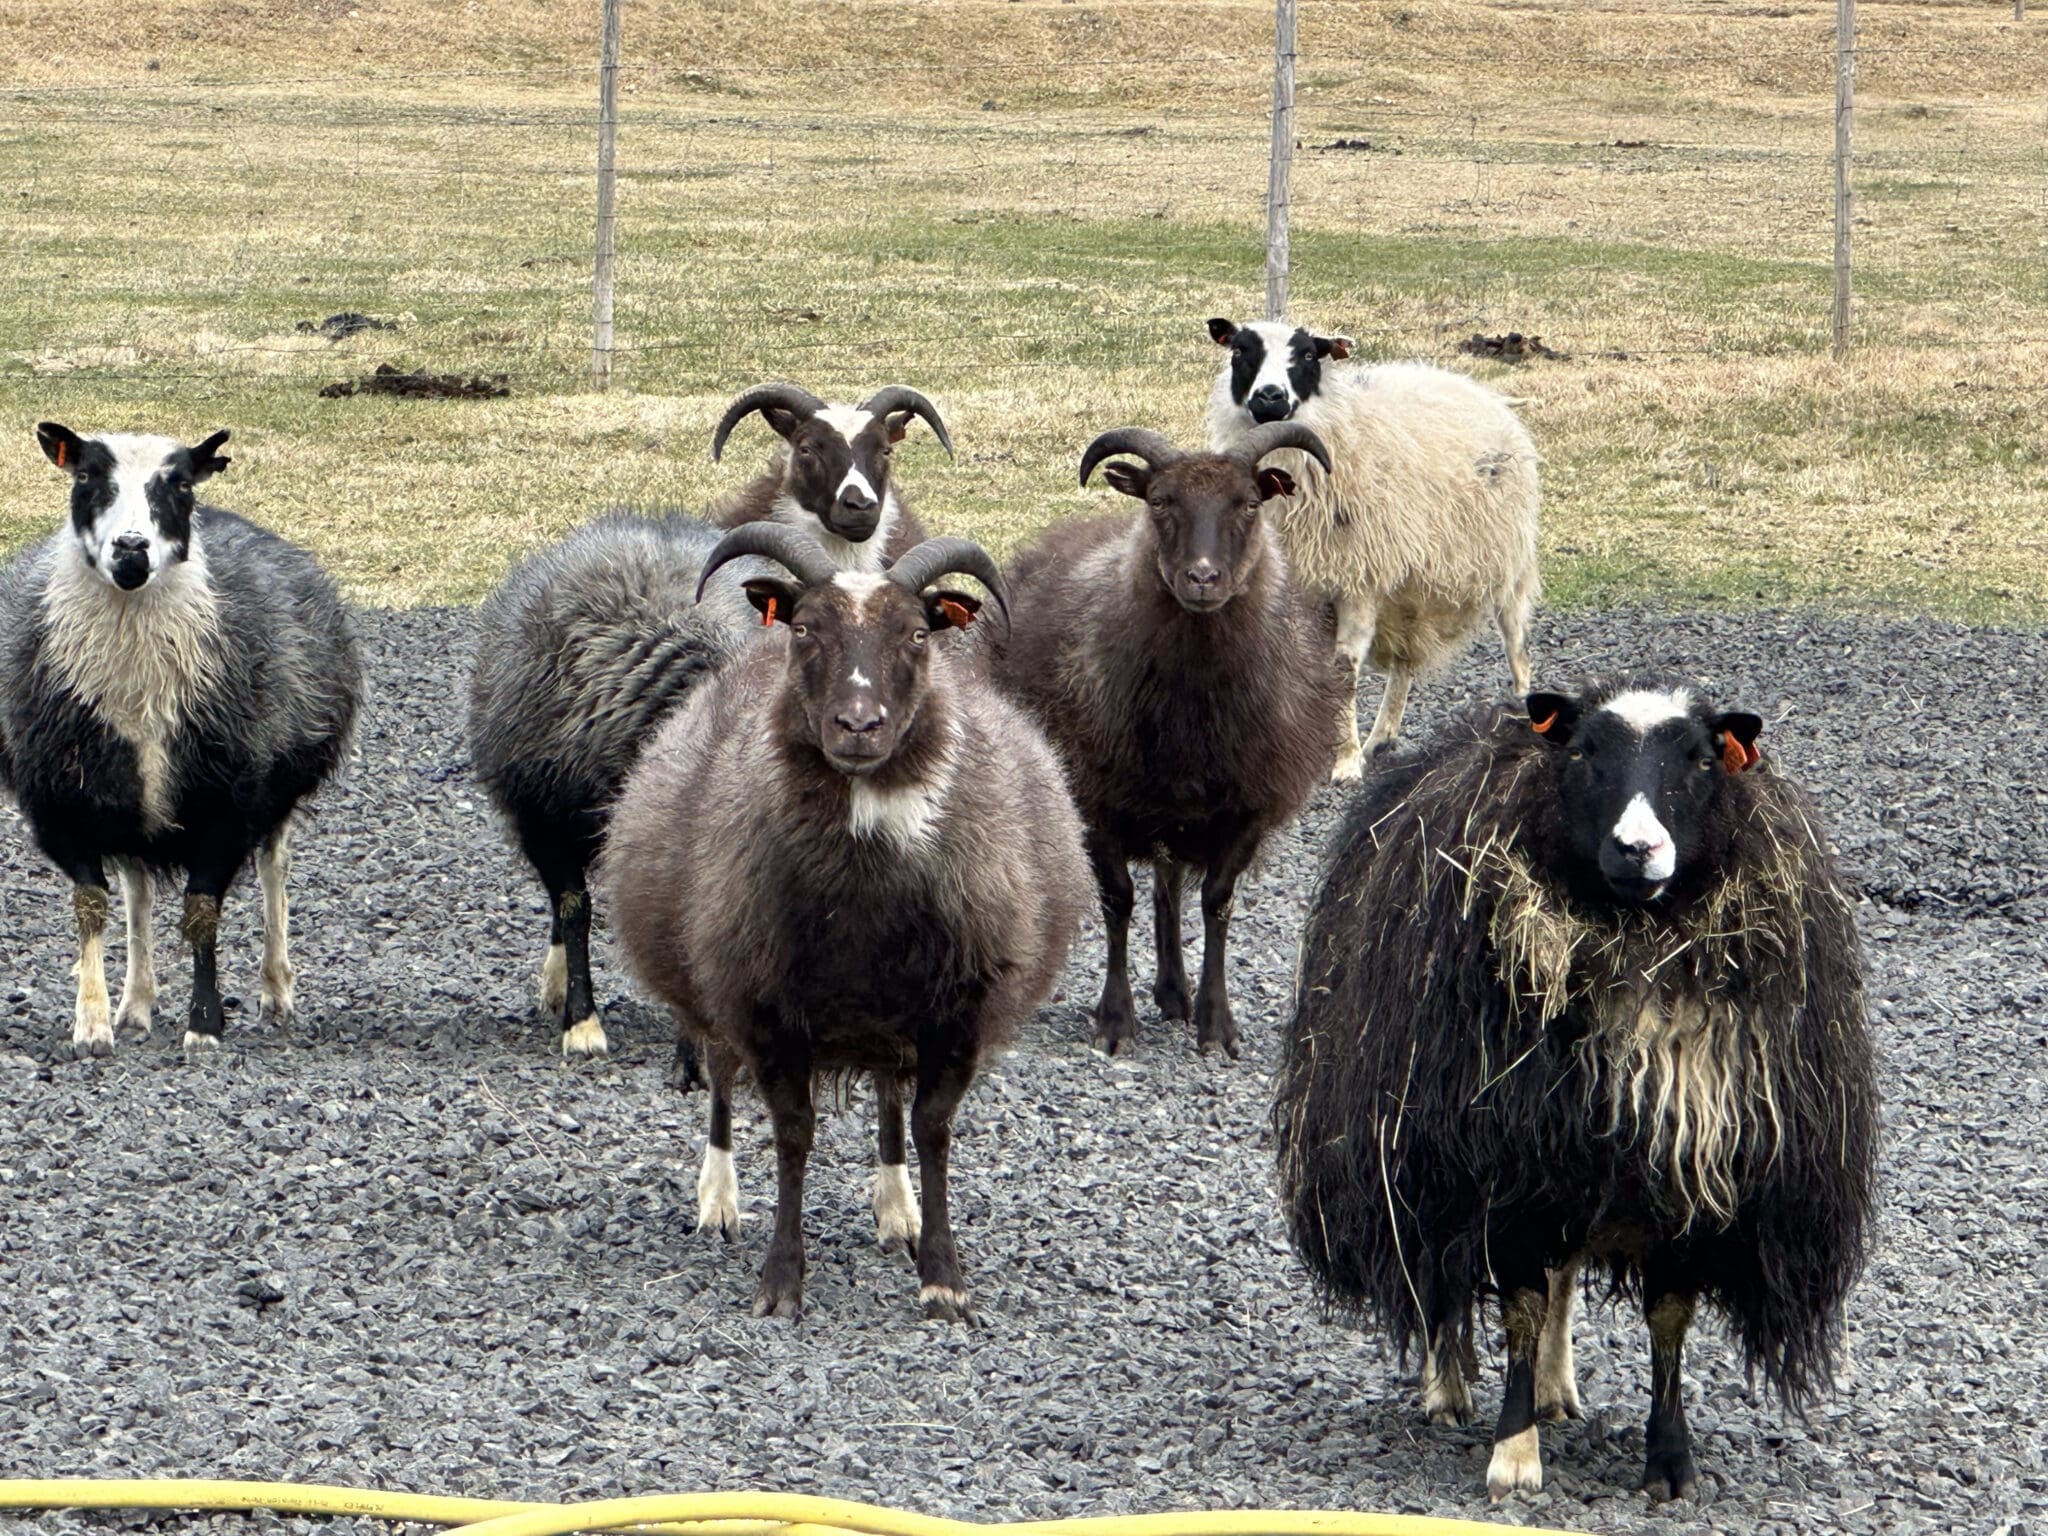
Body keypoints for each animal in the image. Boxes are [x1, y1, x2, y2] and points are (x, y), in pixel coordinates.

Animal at [1, 424, 361, 1057]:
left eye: (181, 485)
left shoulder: (228, 805)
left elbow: (201, 914)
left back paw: (276, 992)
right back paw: (136, 1004)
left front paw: (205, 1026)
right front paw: (92, 1024)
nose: (131, 548)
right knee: (138, 894)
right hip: (131, 804)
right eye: (86, 476)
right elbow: (91, 907)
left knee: (274, 869)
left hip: (274, 790)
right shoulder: (62, 807)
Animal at [604, 523, 1091, 1322]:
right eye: (805, 628)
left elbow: (932, 1129)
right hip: (709, 981)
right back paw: (718, 1201)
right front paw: (780, 1283)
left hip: (893, 1017)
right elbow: (792, 1135)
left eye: (919, 633)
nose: (859, 725)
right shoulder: (764, 1006)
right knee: (719, 1076)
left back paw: (898, 1211)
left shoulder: (959, 1011)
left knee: (891, 1099)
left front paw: (943, 1278)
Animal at [982, 423, 1349, 1059]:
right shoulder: (1097, 801)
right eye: (1159, 502)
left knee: (1171, 889)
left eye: (1248, 504)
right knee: (1159, 890)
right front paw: (1115, 1020)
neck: (1192, 705)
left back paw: (1177, 993)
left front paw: (1217, 1024)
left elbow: (1217, 903)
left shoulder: (1245, 807)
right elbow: (1117, 899)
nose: (1202, 578)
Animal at [1205, 317, 1542, 781]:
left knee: (1516, 638)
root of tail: (1475, 387)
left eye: (1308, 354)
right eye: (1239, 350)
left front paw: (1344, 762)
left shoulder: (1357, 580)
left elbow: (1343, 669)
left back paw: (1523, 707)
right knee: (1404, 660)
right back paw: (1382, 739)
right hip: (1412, 589)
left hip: (1508, 558)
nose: (1270, 396)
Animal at [1274, 679, 1877, 1502]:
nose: (1637, 849)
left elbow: (1664, 1319)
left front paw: (1669, 1460)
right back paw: (1447, 1386)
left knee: (1559, 1280)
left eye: (1700, 759)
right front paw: (1513, 1453)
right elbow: (1521, 1310)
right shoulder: (1505, 1171)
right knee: (1437, 1274)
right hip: (1421, 1154)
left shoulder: (1688, 1174)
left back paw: (1556, 1389)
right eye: (1587, 752)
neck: (1634, 934)